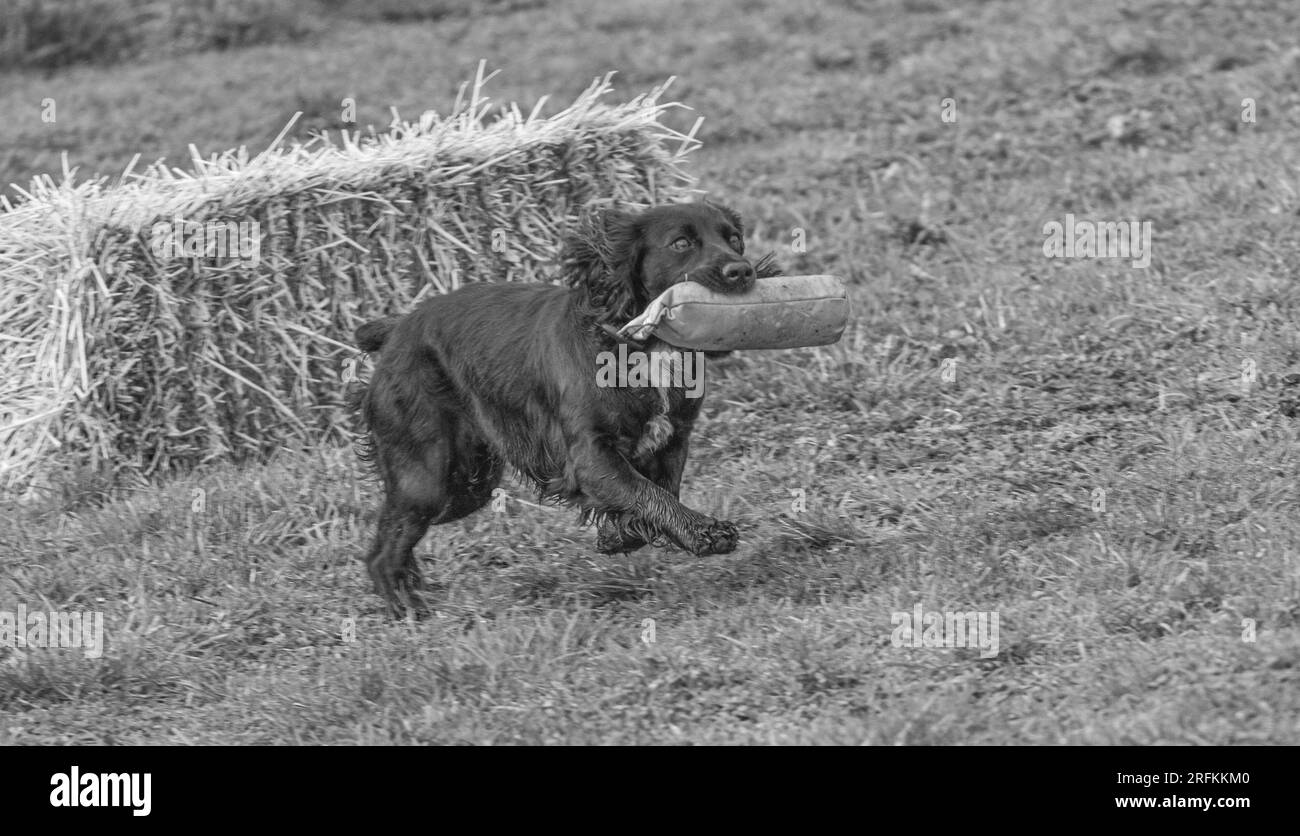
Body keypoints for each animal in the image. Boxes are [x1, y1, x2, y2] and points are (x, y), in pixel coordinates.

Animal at [351, 200, 774, 618]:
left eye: (734, 239)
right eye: (681, 243)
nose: (742, 270)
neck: (642, 346)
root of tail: (397, 329)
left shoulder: (673, 441)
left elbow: (658, 490)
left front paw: (619, 535)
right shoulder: (590, 454)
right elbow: (650, 493)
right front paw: (706, 532)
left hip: (469, 485)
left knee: (396, 531)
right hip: (428, 477)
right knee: (382, 552)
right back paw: (407, 610)